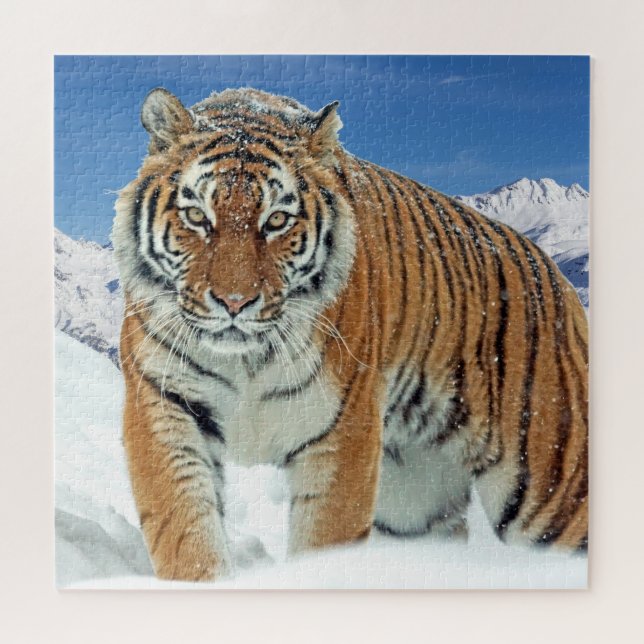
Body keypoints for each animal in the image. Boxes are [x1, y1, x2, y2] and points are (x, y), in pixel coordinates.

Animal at [112, 86, 588, 581]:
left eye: (277, 221)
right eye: (196, 216)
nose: (235, 302)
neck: (246, 359)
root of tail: (556, 275)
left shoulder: (342, 430)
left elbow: (324, 540)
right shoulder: (163, 404)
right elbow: (185, 530)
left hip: (552, 487)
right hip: (413, 500)